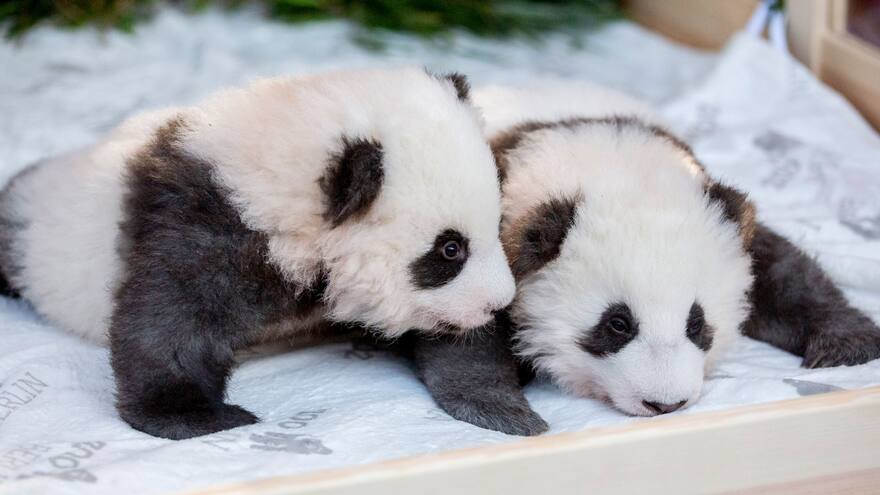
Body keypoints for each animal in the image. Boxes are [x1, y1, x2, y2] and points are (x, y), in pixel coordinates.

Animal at [0, 68, 517, 440]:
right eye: (449, 249)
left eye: (496, 224)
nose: (500, 303)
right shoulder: (206, 223)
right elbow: (167, 322)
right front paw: (196, 418)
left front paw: (494, 405)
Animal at [409, 83, 880, 435]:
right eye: (617, 324)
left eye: (696, 323)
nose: (665, 404)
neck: (611, 168)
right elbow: (465, 326)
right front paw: (503, 410)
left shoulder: (722, 219)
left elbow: (784, 273)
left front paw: (847, 343)